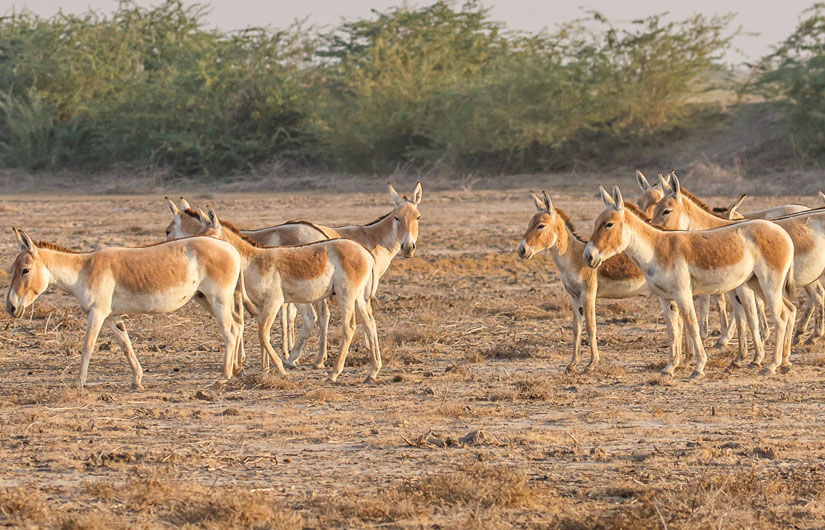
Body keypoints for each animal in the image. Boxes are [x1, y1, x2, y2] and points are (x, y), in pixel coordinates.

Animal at [4, 228, 243, 388]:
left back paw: (224, 375)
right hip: (205, 299)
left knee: (229, 331)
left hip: (218, 299)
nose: (10, 307)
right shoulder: (112, 317)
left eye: (25, 270)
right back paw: (236, 369)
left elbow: (87, 346)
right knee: (237, 325)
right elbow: (126, 345)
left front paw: (78, 382)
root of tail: (230, 248)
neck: (83, 270)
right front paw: (137, 380)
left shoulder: (97, 313)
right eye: (12, 269)